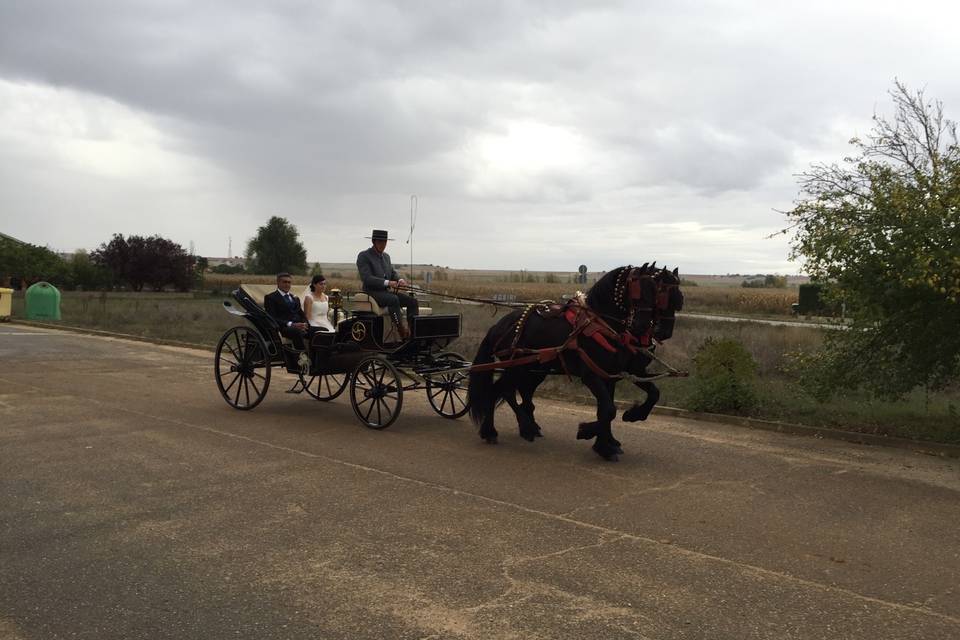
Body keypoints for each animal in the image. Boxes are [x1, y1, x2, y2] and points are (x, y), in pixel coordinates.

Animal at [468, 264, 672, 460]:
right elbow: (608, 410)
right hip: (517, 367)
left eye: (656, 292)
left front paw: (608, 441)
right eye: (638, 290)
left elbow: (616, 406)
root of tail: (498, 325)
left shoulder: (612, 374)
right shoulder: (591, 375)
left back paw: (525, 427)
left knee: (515, 392)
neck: (601, 326)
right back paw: (501, 430)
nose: (644, 325)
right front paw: (589, 434)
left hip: (533, 369)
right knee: (500, 391)